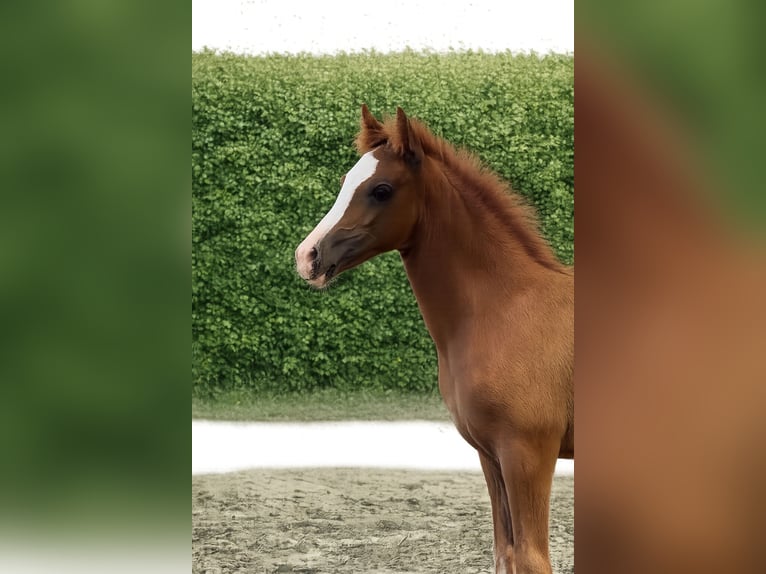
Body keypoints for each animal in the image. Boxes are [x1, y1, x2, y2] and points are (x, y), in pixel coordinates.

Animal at [295, 105, 574, 574]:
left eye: (382, 190)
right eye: (345, 180)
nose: (308, 256)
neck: (502, 311)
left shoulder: (528, 453)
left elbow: (531, 558)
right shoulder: (490, 455)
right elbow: (504, 553)